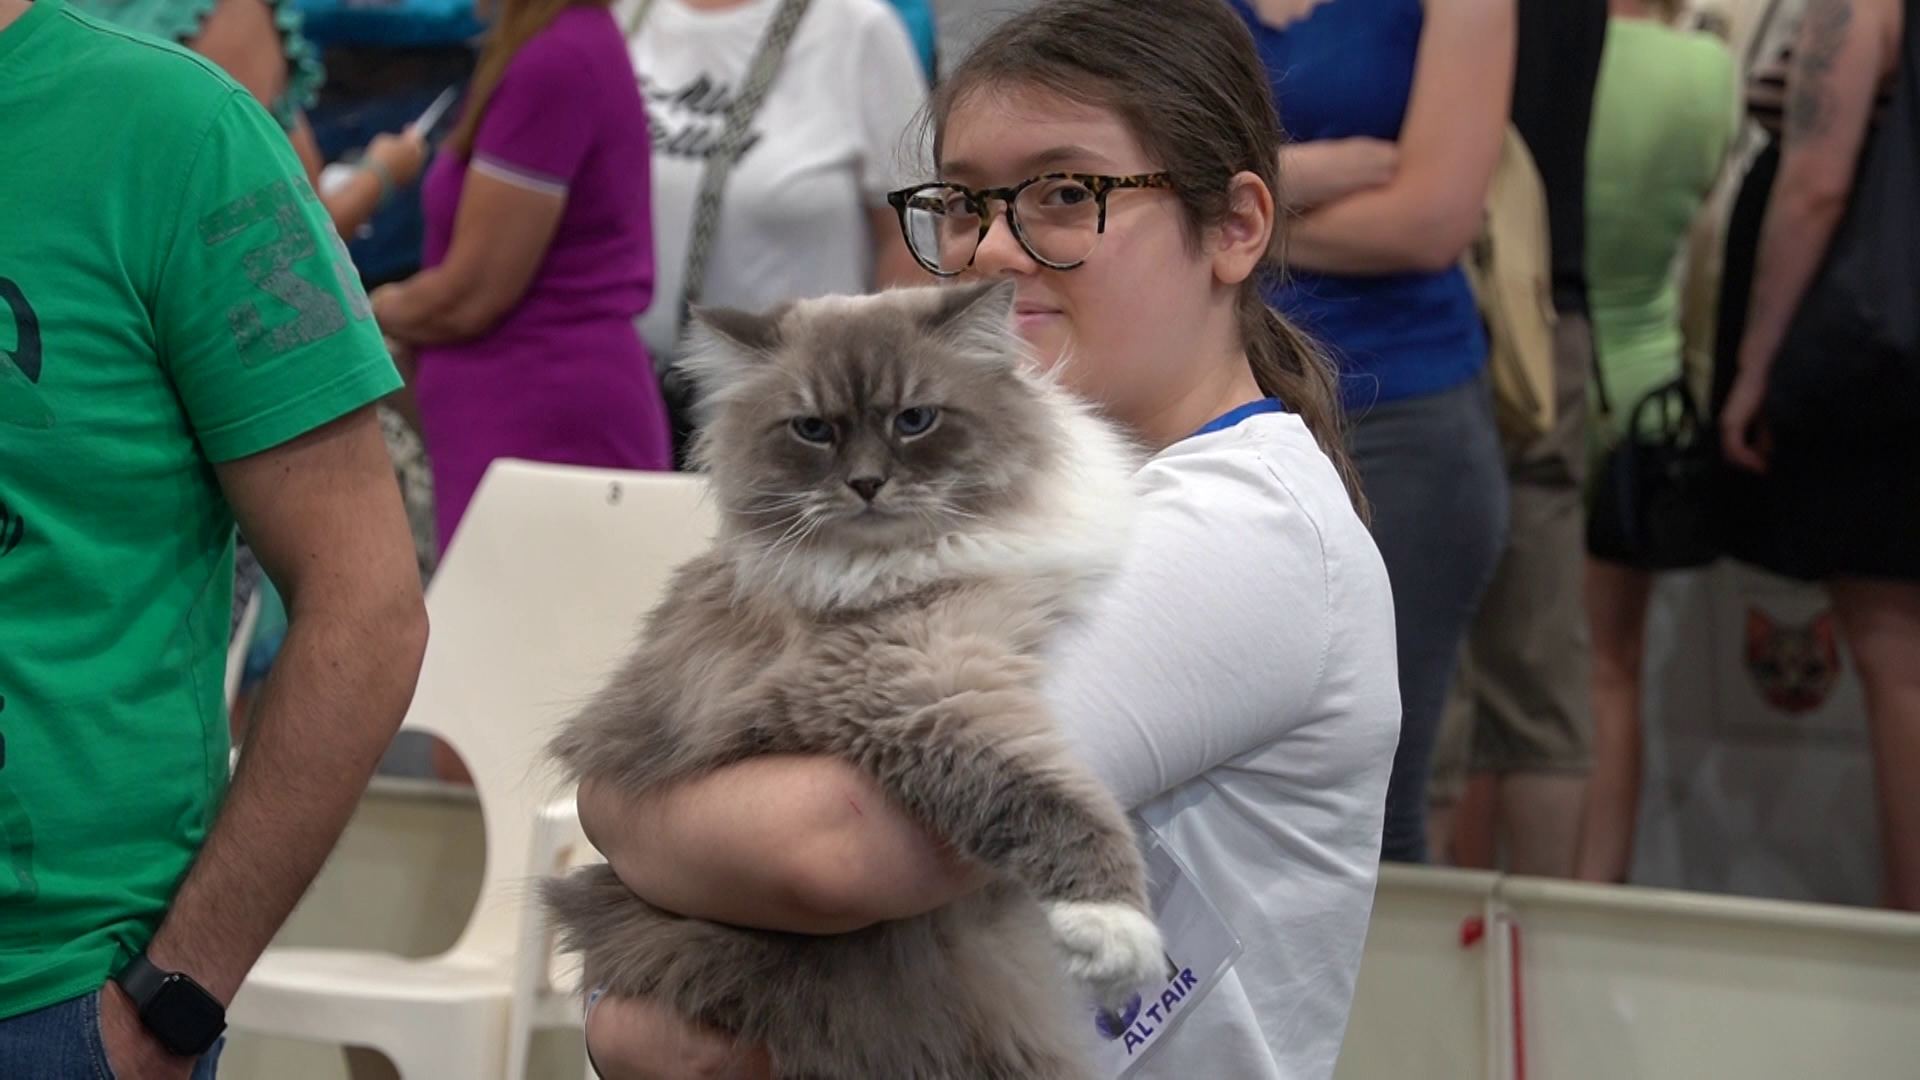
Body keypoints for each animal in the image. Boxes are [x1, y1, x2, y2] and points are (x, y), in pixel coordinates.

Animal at [549, 278, 1159, 1076]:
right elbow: (1047, 796)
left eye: (914, 420)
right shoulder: (914, 690)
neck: (920, 559)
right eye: (813, 430)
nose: (867, 484)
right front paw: (1114, 929)